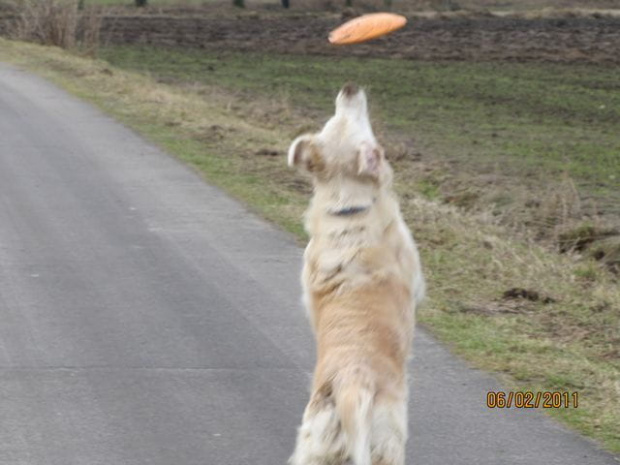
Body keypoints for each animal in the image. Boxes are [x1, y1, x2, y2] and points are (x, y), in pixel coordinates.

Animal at [286, 83, 424, 464]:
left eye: (333, 119)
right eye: (358, 125)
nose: (348, 88)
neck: (347, 208)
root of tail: (350, 386)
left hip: (312, 448)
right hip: (389, 442)